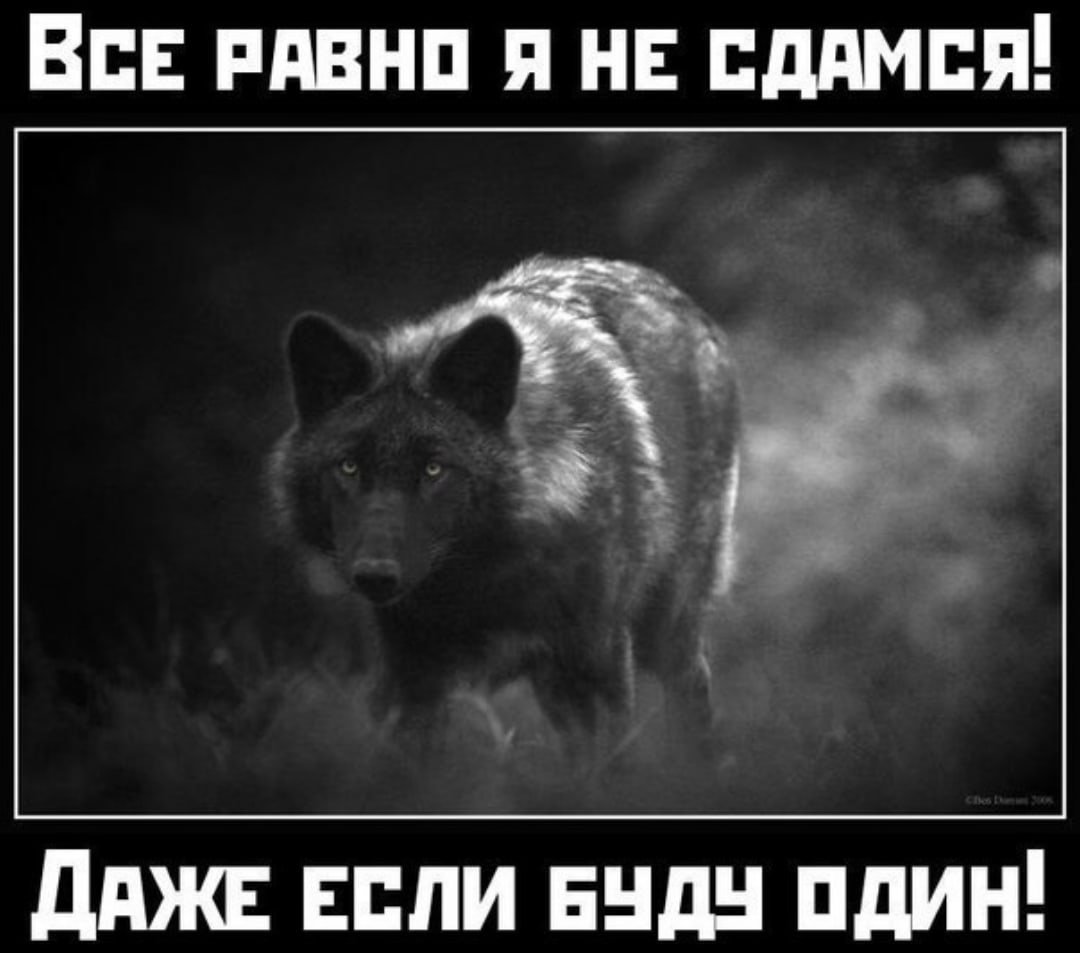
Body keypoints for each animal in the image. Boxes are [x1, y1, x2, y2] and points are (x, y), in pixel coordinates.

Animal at [268, 256, 739, 761]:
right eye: (349, 466)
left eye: (434, 469)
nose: (375, 574)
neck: (482, 579)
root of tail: (671, 291)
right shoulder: (410, 676)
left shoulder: (595, 662)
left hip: (663, 633)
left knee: (694, 694)